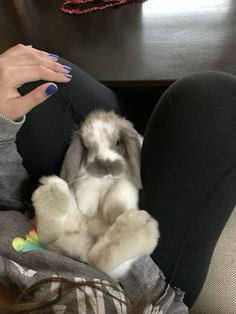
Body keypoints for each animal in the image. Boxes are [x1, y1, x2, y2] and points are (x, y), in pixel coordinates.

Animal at [32, 110, 159, 280]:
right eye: (86, 147)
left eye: (118, 142)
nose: (105, 168)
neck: (105, 181)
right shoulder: (86, 183)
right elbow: (87, 197)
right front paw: (89, 211)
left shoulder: (124, 184)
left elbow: (118, 194)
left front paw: (112, 213)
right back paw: (53, 194)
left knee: (99, 261)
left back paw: (137, 228)